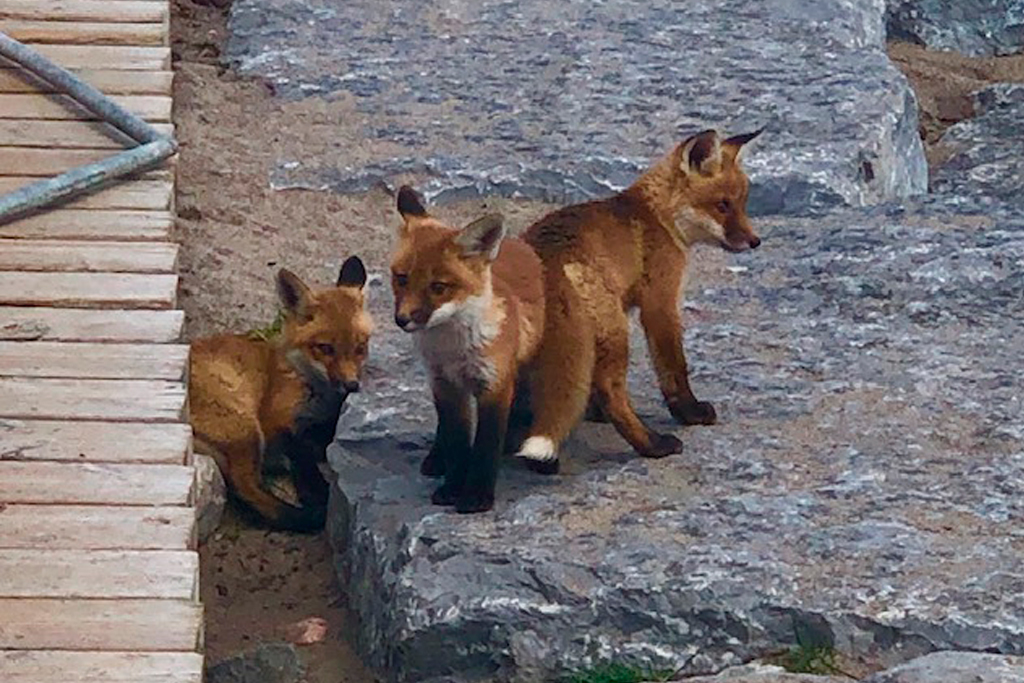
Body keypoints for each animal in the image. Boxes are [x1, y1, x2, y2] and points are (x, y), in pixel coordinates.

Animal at [188, 257, 371, 532]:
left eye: (360, 348)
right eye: (325, 348)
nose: (351, 385)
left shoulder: (325, 422)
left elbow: (318, 441)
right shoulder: (273, 421)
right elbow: (300, 449)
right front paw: (315, 489)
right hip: (247, 428)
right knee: (246, 488)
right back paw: (306, 516)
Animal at [390, 186, 545, 513]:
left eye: (438, 287)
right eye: (402, 278)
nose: (402, 319)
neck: (452, 350)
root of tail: (515, 242)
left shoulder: (495, 385)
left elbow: (485, 445)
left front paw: (476, 496)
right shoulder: (445, 384)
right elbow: (457, 442)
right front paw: (452, 487)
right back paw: (436, 458)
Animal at [516, 128, 763, 473]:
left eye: (742, 203)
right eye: (722, 205)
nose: (755, 241)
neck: (657, 216)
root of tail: (545, 261)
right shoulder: (660, 301)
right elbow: (673, 367)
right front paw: (689, 413)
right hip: (616, 333)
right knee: (612, 392)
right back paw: (653, 444)